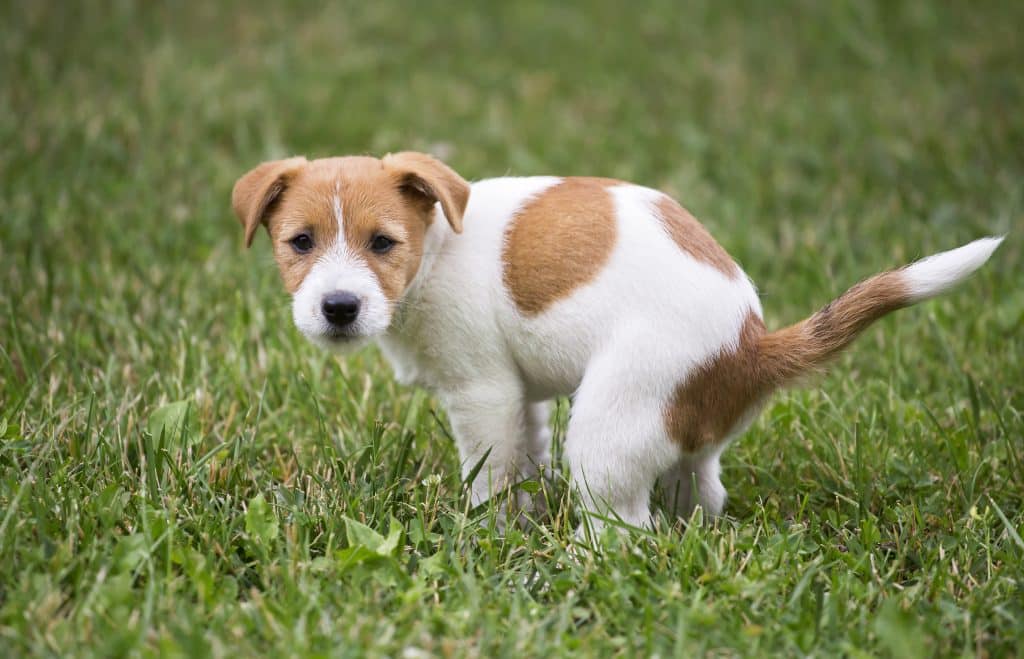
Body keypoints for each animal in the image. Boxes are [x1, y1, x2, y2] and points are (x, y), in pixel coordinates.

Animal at [230, 151, 999, 532]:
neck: (438, 246)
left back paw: (580, 561)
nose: (338, 307)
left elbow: (492, 474)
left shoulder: (483, 393)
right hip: (679, 431)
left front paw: (490, 536)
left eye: (383, 243)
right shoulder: (520, 398)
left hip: (608, 428)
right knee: (699, 493)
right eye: (300, 242)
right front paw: (523, 518)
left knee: (628, 528)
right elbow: (526, 456)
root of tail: (751, 345)